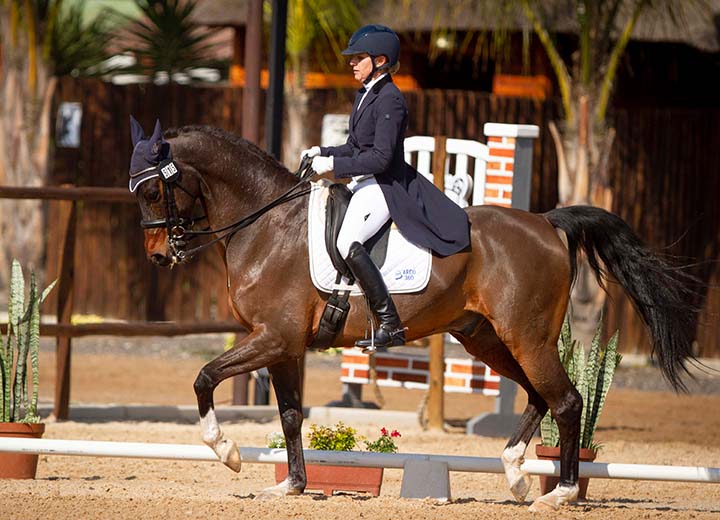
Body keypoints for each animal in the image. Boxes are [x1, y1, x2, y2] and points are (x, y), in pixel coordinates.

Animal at [129, 120, 697, 511]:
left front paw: (226, 451)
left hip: (526, 337)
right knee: (540, 397)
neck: (265, 224)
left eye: (153, 190)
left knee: (567, 400)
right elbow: (289, 415)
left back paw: (558, 493)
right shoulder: (282, 345)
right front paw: (291, 486)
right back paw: (515, 474)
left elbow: (204, 378)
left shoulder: (273, 337)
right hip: (486, 339)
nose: (157, 256)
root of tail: (546, 222)